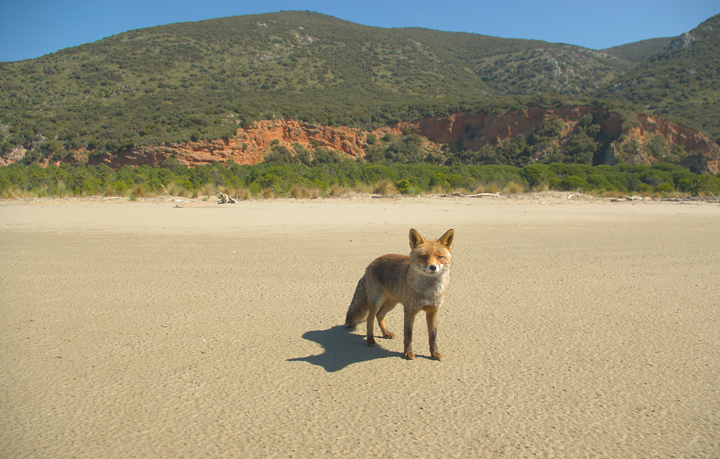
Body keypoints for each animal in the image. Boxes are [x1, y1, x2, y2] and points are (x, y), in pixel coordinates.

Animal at [344, 228, 456, 362]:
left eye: (440, 257)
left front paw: (434, 353)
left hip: (391, 303)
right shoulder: (409, 310)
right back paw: (370, 339)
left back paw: (386, 333)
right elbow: (408, 335)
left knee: (380, 316)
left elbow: (433, 336)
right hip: (376, 301)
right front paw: (408, 353)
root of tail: (371, 263)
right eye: (424, 256)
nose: (433, 267)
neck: (427, 292)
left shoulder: (433, 311)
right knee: (370, 319)